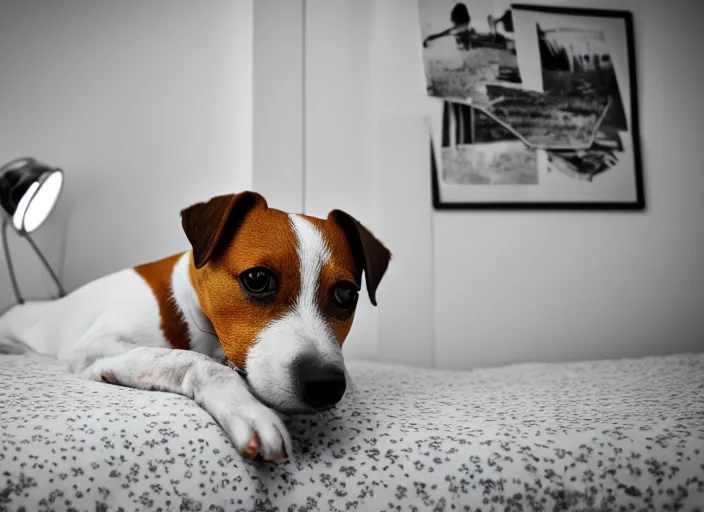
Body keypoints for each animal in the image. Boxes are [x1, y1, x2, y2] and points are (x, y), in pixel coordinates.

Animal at [0, 192, 390, 464]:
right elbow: (189, 360)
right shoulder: (97, 347)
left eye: (346, 294)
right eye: (257, 279)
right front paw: (244, 406)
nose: (324, 384)